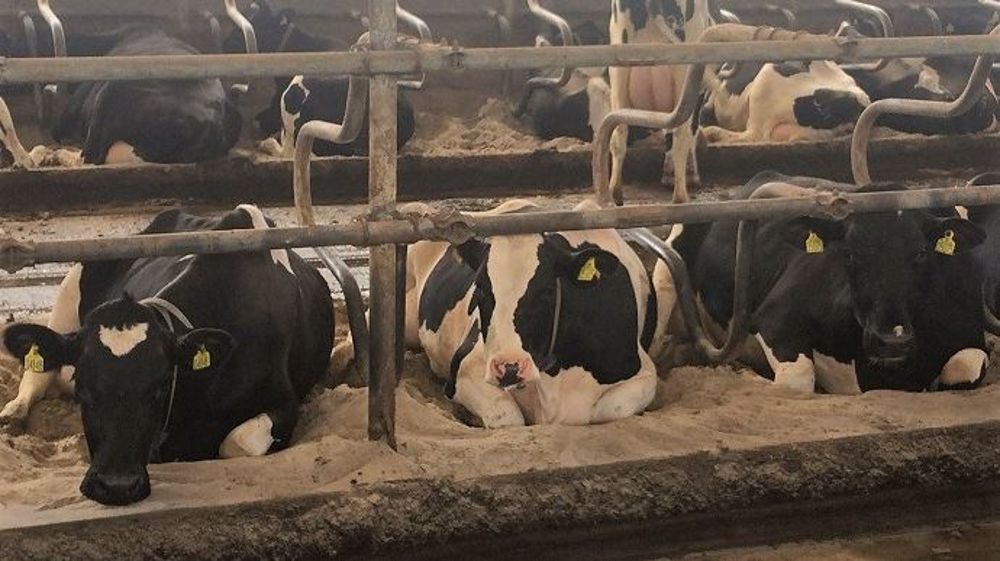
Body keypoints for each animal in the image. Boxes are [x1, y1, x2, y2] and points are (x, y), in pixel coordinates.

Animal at [1, 205, 334, 505]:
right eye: (84, 387)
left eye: (160, 386)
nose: (116, 486)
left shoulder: (285, 402)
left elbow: (236, 444)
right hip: (70, 289)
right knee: (37, 376)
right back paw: (12, 412)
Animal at [608, 0, 713, 203]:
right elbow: (689, 131)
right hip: (684, 75)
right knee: (681, 135)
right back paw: (681, 196)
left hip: (618, 73)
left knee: (618, 132)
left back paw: (615, 193)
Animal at [670, 171, 988, 394]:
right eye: (850, 253)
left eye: (922, 252)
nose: (892, 340)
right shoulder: (773, 316)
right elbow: (797, 380)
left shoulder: (970, 332)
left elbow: (965, 365)